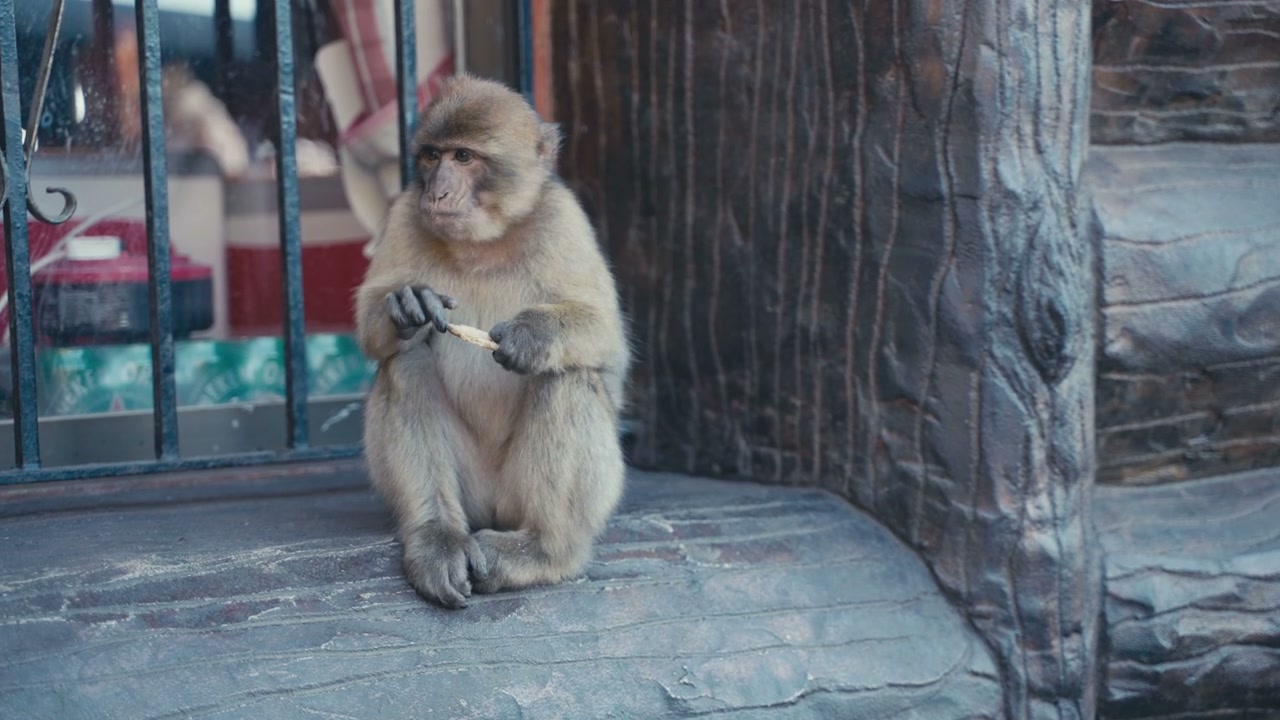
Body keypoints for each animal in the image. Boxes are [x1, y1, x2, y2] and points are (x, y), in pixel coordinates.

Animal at [354, 74, 630, 609]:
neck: (484, 242)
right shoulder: (403, 214)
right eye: (432, 155)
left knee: (567, 375)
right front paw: (408, 306)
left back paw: (544, 550)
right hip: (475, 492)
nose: (437, 191)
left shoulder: (563, 218)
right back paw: (436, 535)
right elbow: (373, 330)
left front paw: (533, 334)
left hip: (520, 493)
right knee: (405, 364)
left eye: (464, 157)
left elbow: (610, 342)